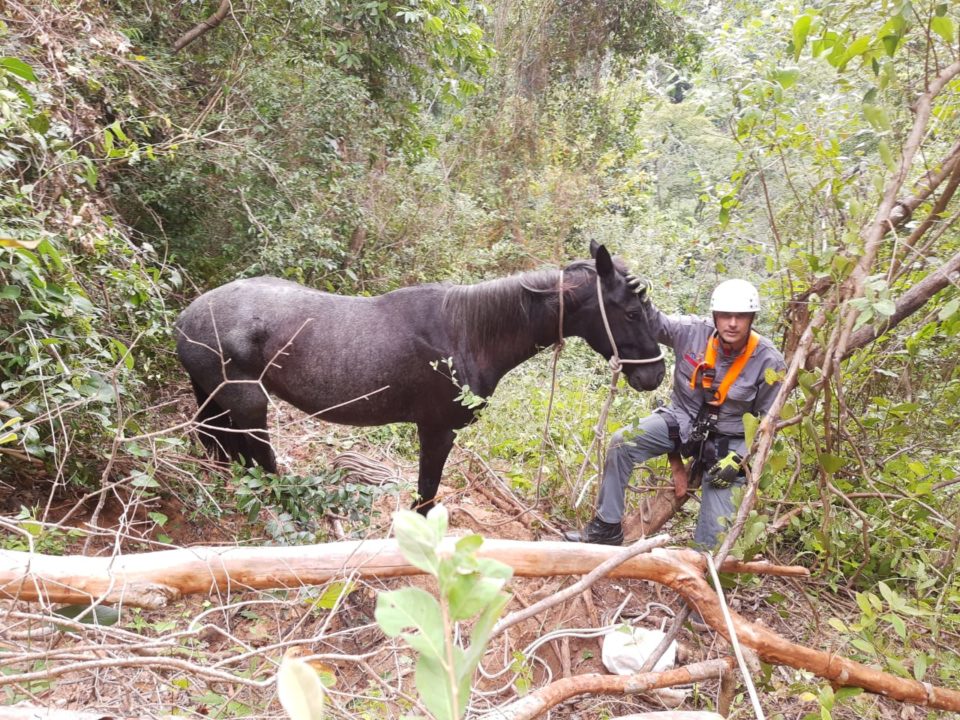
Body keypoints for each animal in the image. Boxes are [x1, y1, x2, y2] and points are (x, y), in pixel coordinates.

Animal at [176, 242, 664, 512]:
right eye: (632, 311)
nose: (656, 373)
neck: (467, 334)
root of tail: (186, 317)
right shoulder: (438, 429)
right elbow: (427, 494)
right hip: (249, 404)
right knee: (258, 459)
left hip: (214, 399)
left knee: (216, 443)